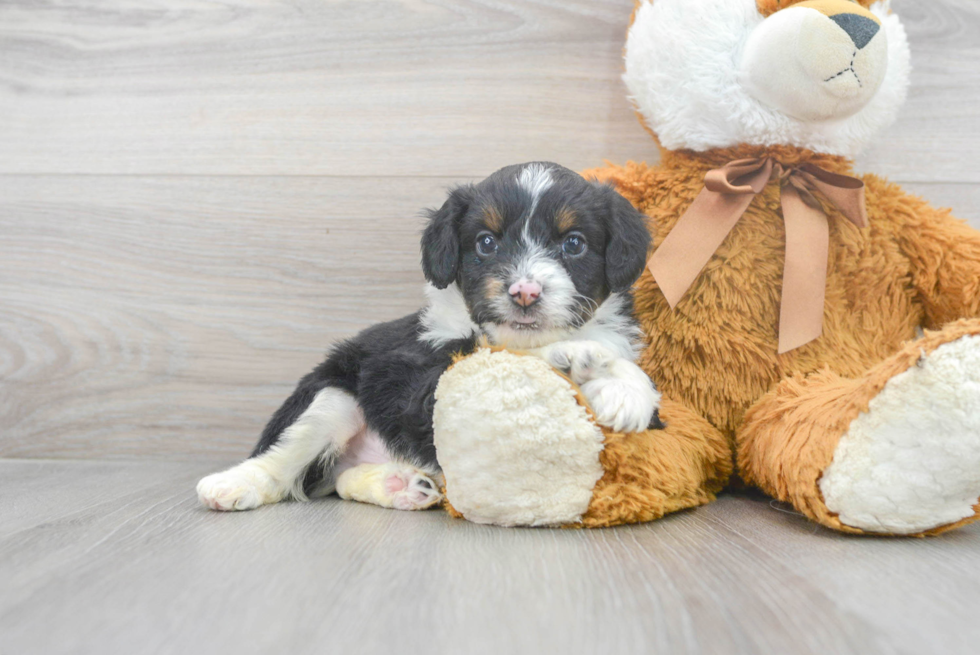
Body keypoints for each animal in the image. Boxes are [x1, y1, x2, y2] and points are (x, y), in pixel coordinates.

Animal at [195, 163, 664, 512]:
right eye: (486, 243)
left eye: (574, 244)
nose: (525, 292)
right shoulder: (424, 380)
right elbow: (507, 351)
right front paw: (583, 355)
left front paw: (622, 390)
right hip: (332, 397)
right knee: (282, 462)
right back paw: (232, 484)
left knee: (340, 480)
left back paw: (401, 485)